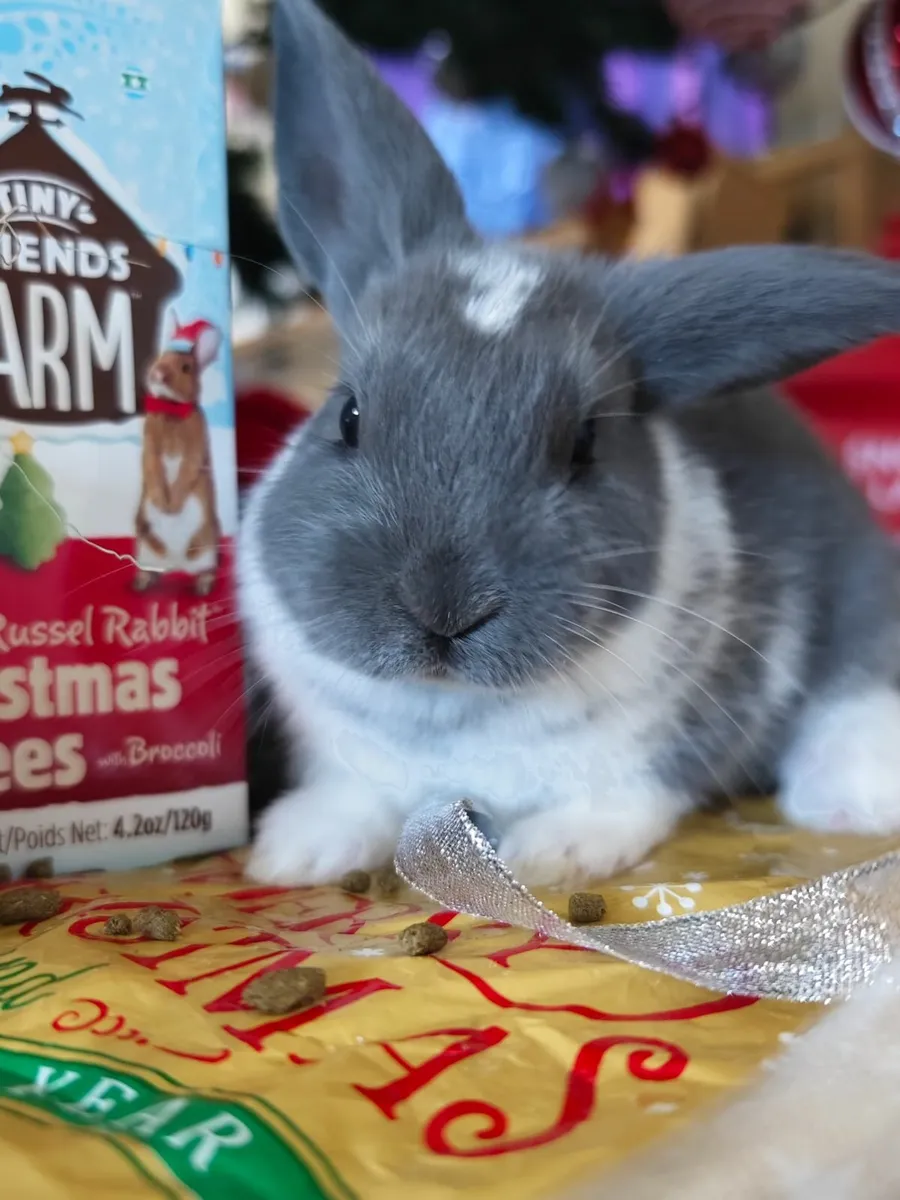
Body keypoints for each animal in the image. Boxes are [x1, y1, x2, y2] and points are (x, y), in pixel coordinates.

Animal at [239, 0, 900, 888]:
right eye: (348, 416)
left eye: (585, 443)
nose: (445, 610)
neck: (451, 709)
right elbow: (353, 799)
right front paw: (291, 852)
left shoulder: (669, 733)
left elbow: (629, 794)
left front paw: (557, 854)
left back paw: (849, 801)